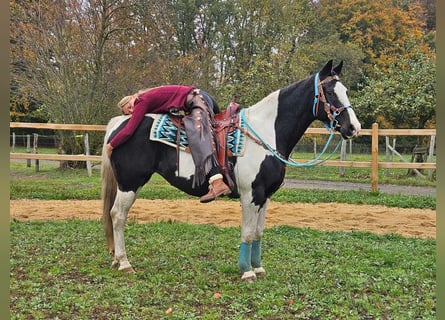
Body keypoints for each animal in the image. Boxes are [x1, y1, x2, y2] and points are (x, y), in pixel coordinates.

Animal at [100, 60, 360, 282]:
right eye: (330, 92)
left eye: (346, 90)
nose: (353, 127)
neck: (266, 132)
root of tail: (119, 124)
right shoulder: (250, 195)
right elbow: (247, 233)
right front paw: (247, 272)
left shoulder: (265, 197)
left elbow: (258, 233)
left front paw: (258, 267)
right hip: (130, 183)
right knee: (118, 215)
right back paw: (124, 263)